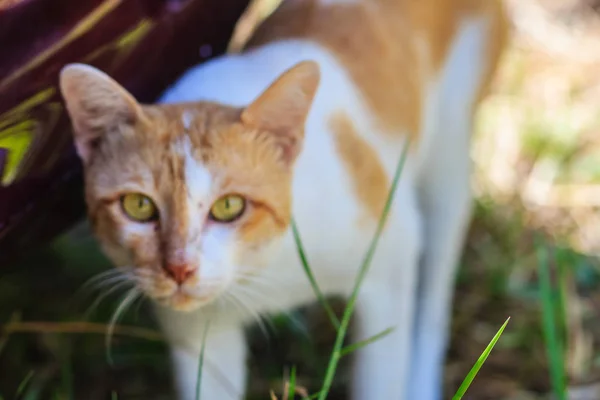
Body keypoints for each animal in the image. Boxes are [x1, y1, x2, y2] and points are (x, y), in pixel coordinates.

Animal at [58, 0, 506, 400]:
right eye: (139, 206)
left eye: (229, 206)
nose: (180, 268)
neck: (264, 265)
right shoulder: (199, 333)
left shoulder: (389, 259)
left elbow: (382, 375)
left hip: (449, 150)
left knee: (435, 288)